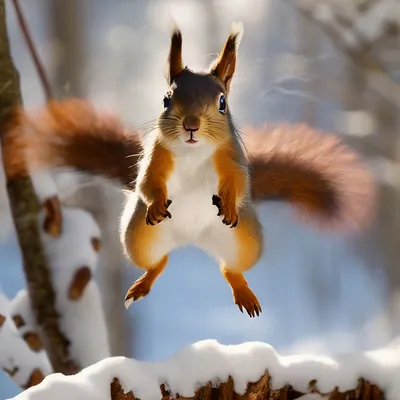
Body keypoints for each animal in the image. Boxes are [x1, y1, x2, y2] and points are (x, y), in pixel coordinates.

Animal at [3, 22, 376, 318]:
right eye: (166, 99)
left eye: (223, 102)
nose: (191, 124)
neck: (193, 153)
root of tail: (192, 239)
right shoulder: (157, 155)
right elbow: (147, 182)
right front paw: (156, 202)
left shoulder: (231, 157)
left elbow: (238, 181)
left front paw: (229, 202)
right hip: (138, 237)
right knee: (159, 262)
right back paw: (144, 281)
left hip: (246, 240)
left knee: (230, 268)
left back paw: (243, 289)